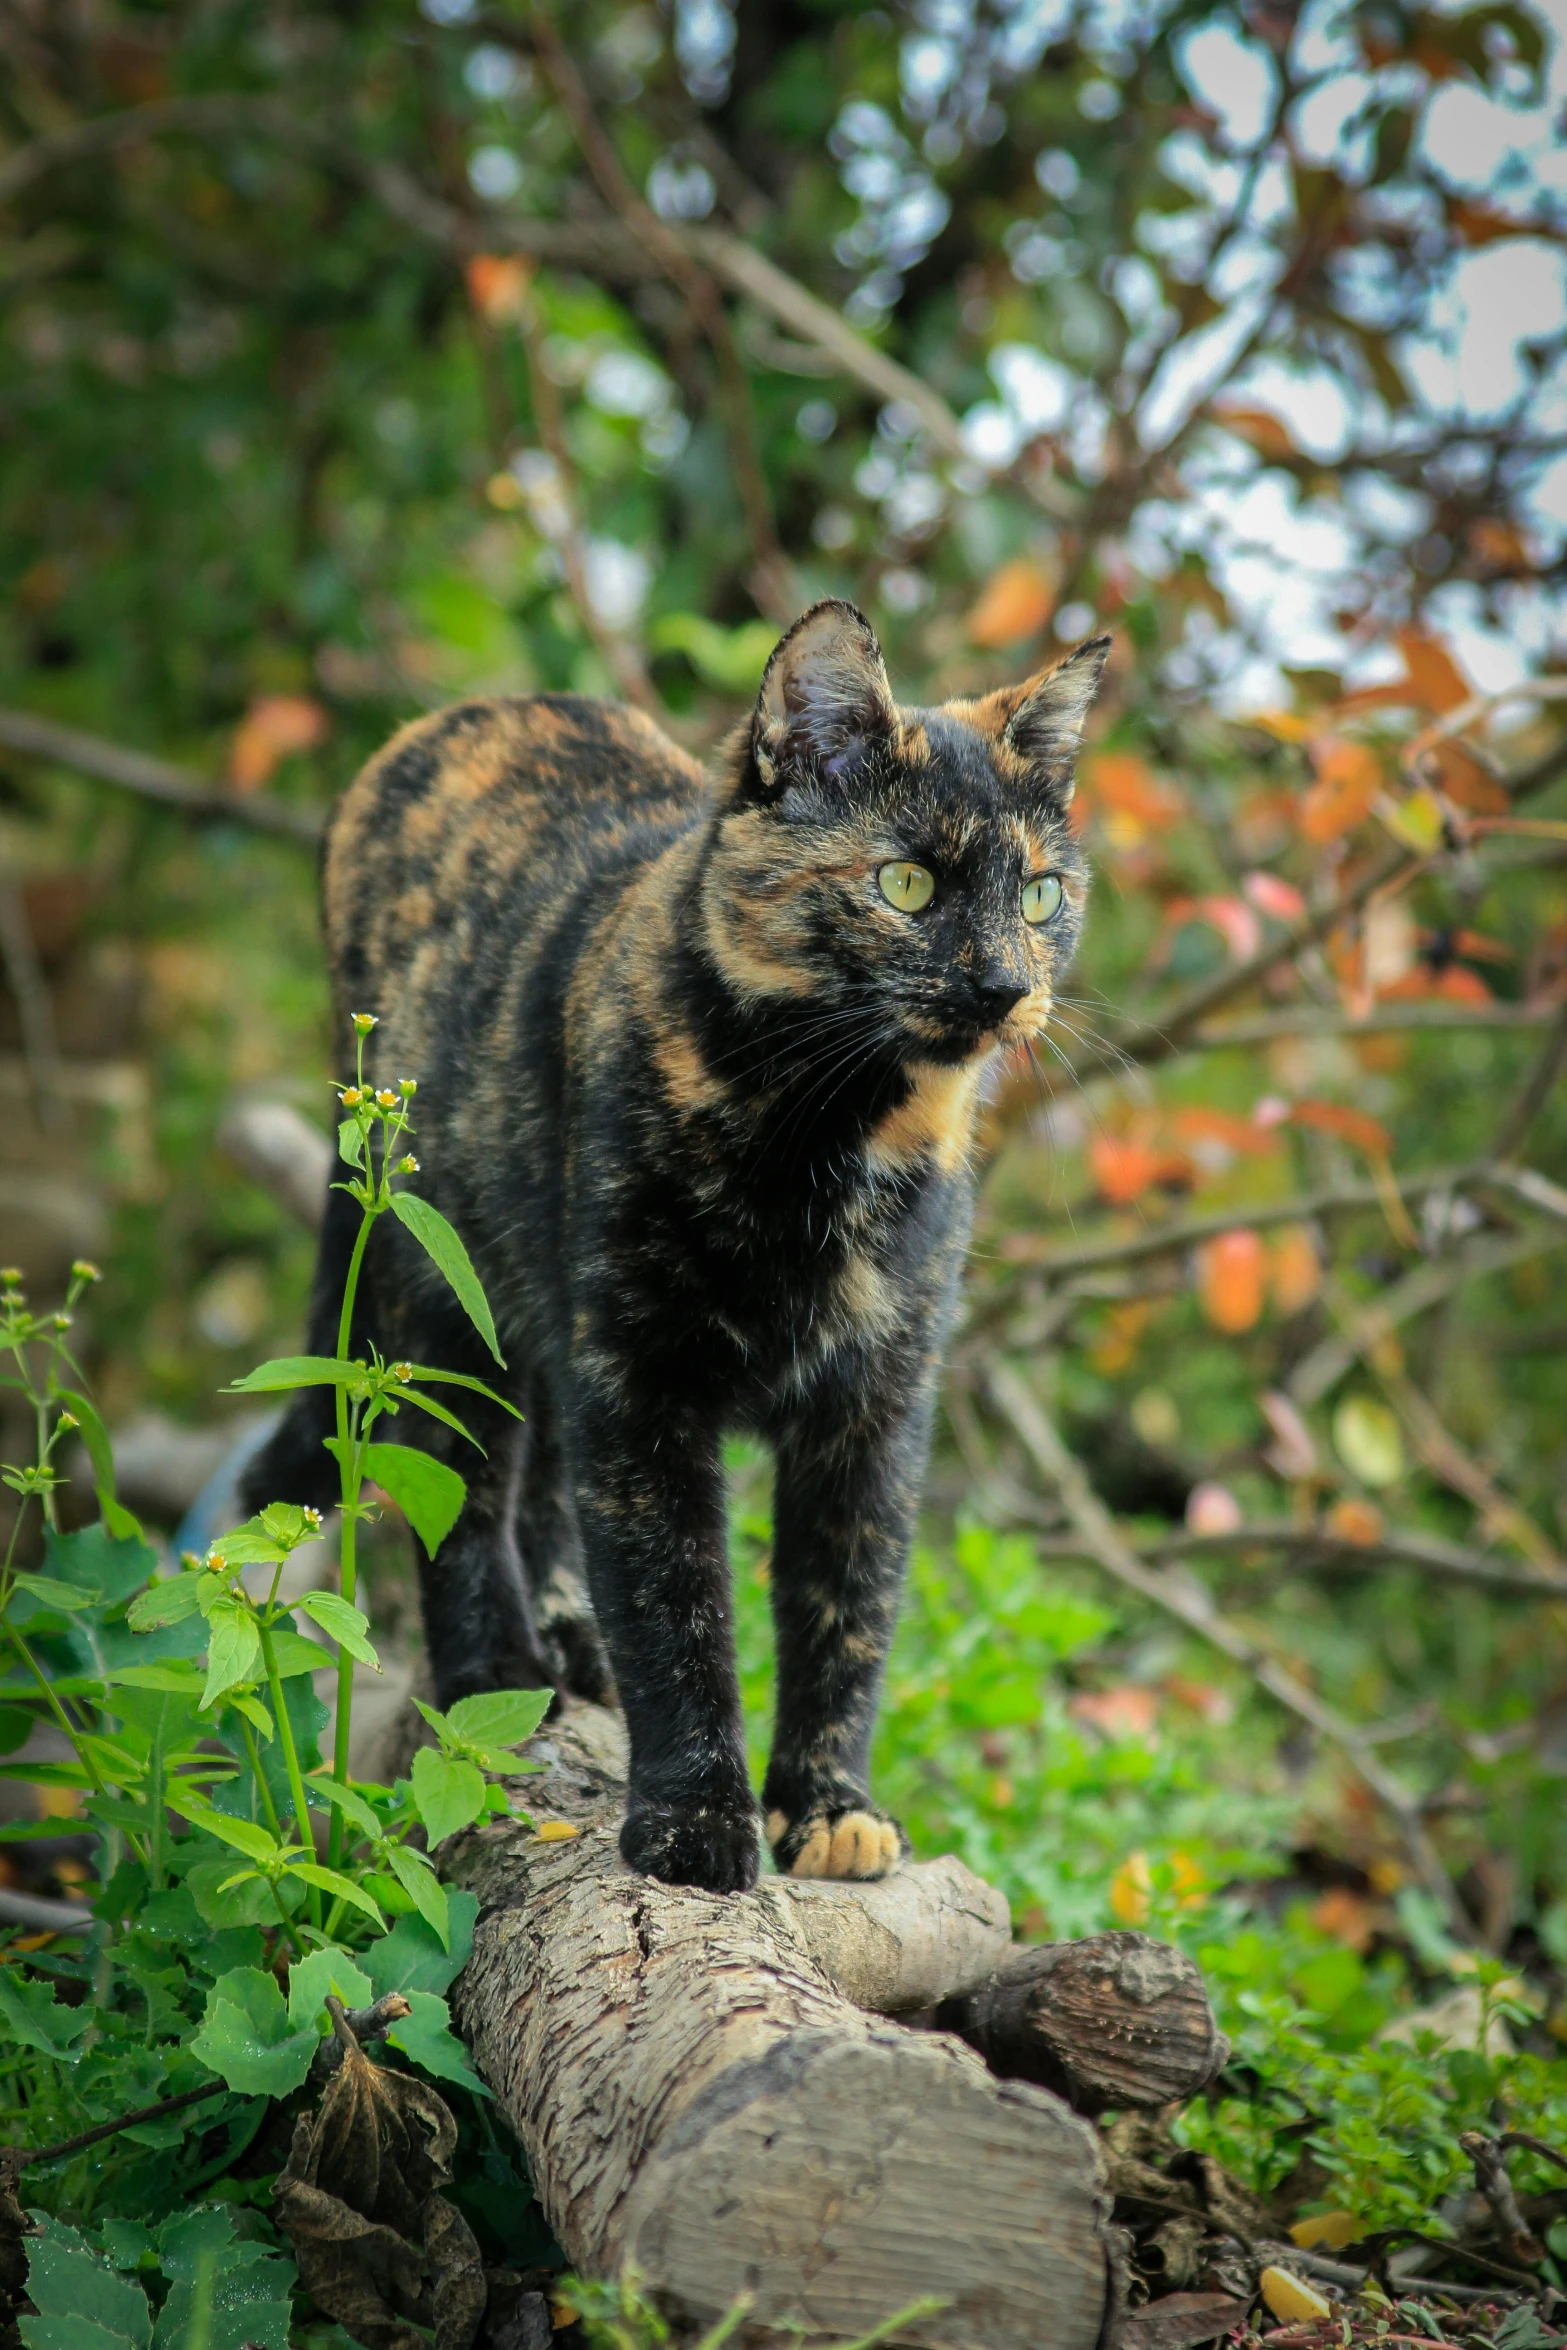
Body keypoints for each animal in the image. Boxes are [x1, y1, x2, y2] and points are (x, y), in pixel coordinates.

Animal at [247, 601, 1104, 1889]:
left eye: (1042, 894)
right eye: (904, 882)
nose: (1006, 983)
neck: (829, 1141)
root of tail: (464, 715)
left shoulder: (877, 1401)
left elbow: (847, 1603)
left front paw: (827, 1806)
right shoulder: (641, 1382)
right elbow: (674, 1602)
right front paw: (695, 1819)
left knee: (540, 1472)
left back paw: (561, 1631)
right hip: (444, 1286)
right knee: (460, 1486)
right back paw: (497, 1677)